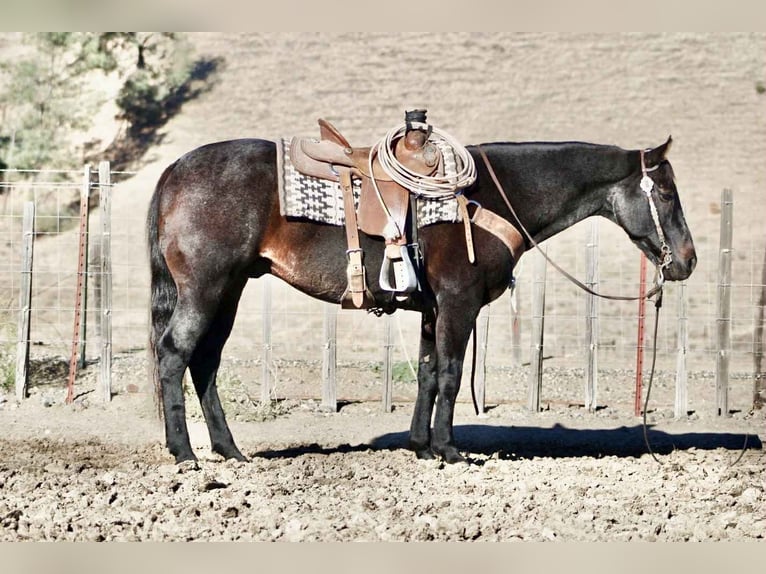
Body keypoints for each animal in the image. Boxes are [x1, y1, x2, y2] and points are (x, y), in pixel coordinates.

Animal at [147, 134, 696, 464]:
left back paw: (229, 450)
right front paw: (450, 450)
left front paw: (421, 446)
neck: (487, 196)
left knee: (206, 362)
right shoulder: (458, 302)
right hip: (206, 289)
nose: (688, 260)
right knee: (175, 355)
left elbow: (428, 372)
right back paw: (185, 452)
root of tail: (175, 169)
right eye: (667, 194)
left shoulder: (433, 309)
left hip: (229, 291)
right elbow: (450, 374)